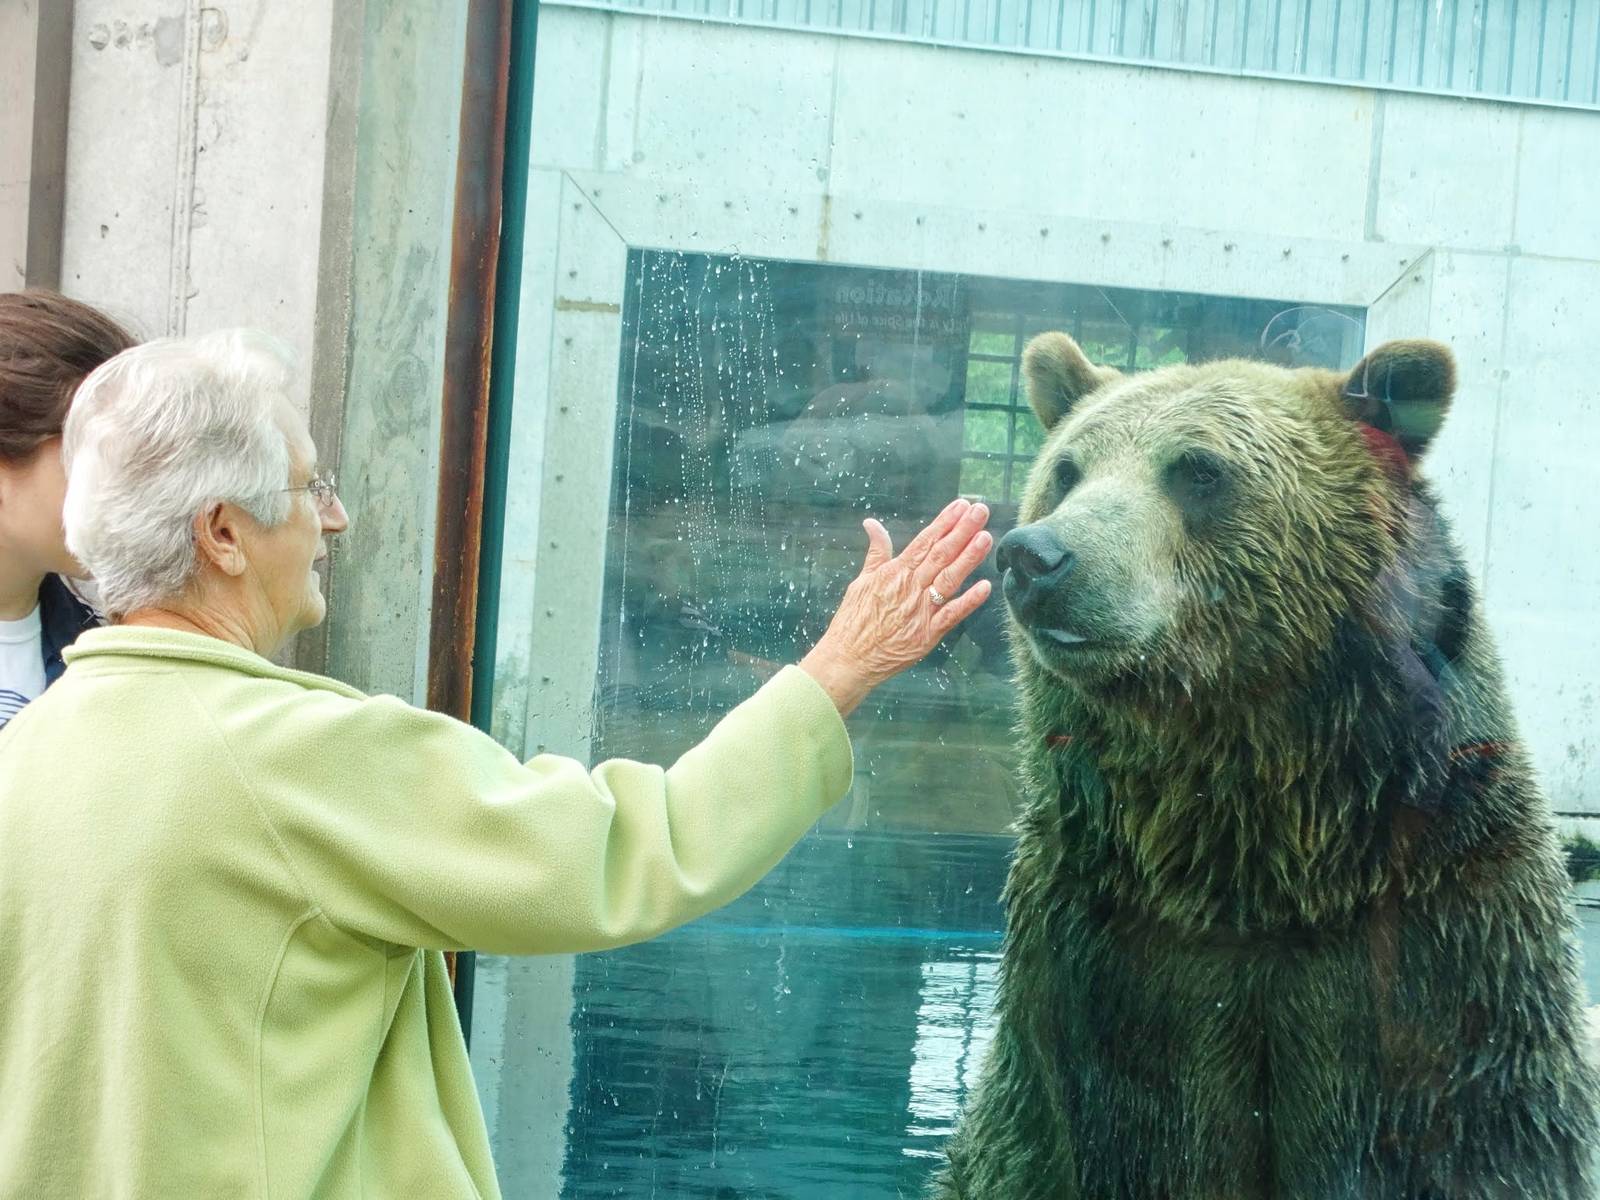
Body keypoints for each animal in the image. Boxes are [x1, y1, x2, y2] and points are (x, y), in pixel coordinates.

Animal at [933, 332, 1599, 1199]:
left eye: (1198, 470)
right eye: (1067, 470)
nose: (1037, 555)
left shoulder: (1448, 946)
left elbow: (1471, 1132)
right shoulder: (1103, 961)